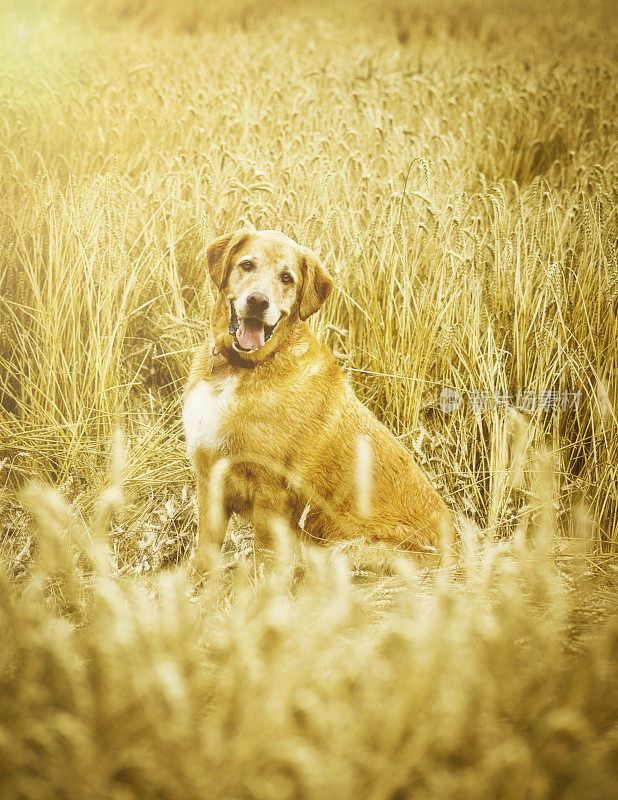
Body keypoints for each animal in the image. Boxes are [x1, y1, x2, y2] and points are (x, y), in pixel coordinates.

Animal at [183, 228, 452, 564]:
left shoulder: (270, 493)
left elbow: (264, 561)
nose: (258, 301)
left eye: (287, 278)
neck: (242, 369)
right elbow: (204, 558)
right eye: (247, 265)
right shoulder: (210, 482)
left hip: (338, 552)